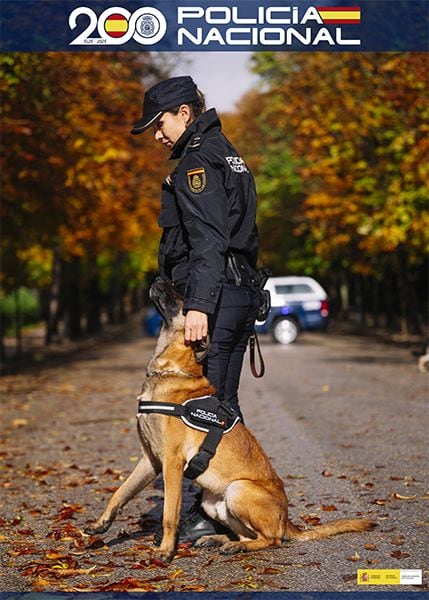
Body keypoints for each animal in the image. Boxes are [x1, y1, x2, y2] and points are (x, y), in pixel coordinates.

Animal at [84, 276, 374, 564]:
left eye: (183, 297)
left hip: (238, 489)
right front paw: (101, 525)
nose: (158, 278)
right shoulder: (150, 460)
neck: (170, 372)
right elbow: (120, 493)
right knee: (247, 535)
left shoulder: (172, 463)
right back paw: (221, 541)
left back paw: (236, 545)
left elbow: (168, 514)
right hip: (215, 504)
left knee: (272, 539)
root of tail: (286, 520)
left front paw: (166, 550)